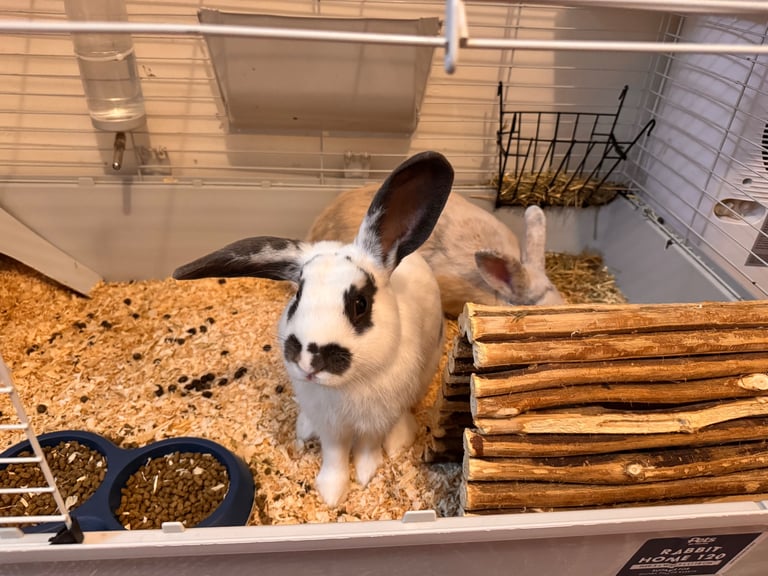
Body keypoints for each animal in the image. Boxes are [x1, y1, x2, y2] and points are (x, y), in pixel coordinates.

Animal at [172, 151, 454, 506]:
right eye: (298, 295)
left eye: (360, 304)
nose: (309, 360)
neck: (345, 388)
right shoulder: (331, 426)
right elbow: (334, 456)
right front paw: (331, 492)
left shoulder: (374, 421)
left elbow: (366, 449)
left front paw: (365, 475)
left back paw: (399, 440)